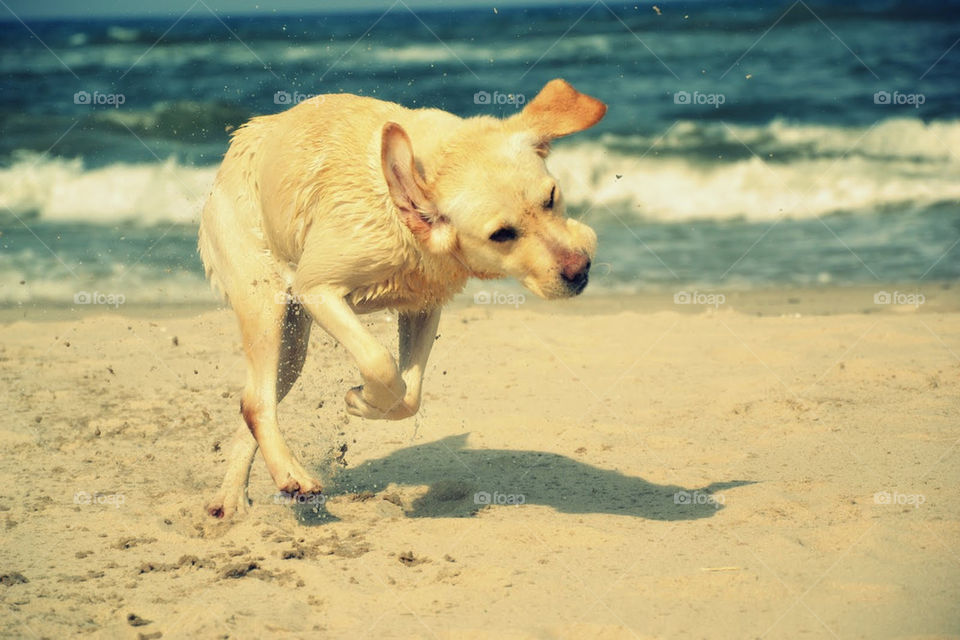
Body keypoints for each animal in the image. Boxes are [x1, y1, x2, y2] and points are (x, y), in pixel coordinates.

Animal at [198, 79, 604, 520]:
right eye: (501, 234)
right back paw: (291, 477)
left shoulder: (423, 306)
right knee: (257, 402)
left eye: (551, 197)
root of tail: (236, 146)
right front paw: (362, 398)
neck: (401, 213)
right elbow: (379, 362)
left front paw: (367, 404)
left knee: (253, 402)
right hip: (265, 303)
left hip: (291, 348)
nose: (579, 270)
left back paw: (233, 495)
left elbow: (410, 394)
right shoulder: (316, 287)